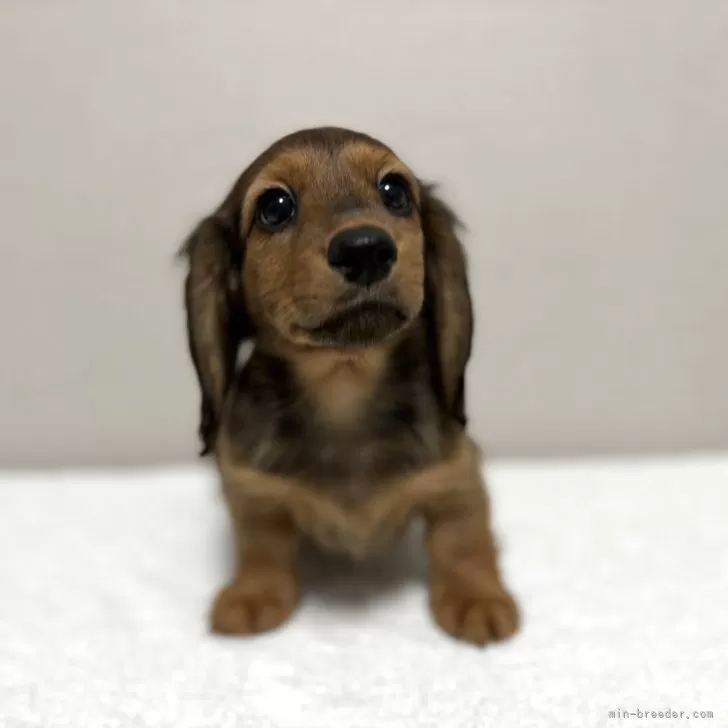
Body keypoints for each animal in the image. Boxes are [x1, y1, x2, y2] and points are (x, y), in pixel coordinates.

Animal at [180, 127, 519, 646]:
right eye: (274, 206)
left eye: (395, 192)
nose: (365, 250)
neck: (344, 388)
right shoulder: (250, 488)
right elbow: (261, 544)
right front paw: (252, 593)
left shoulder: (458, 478)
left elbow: (463, 540)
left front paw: (476, 598)